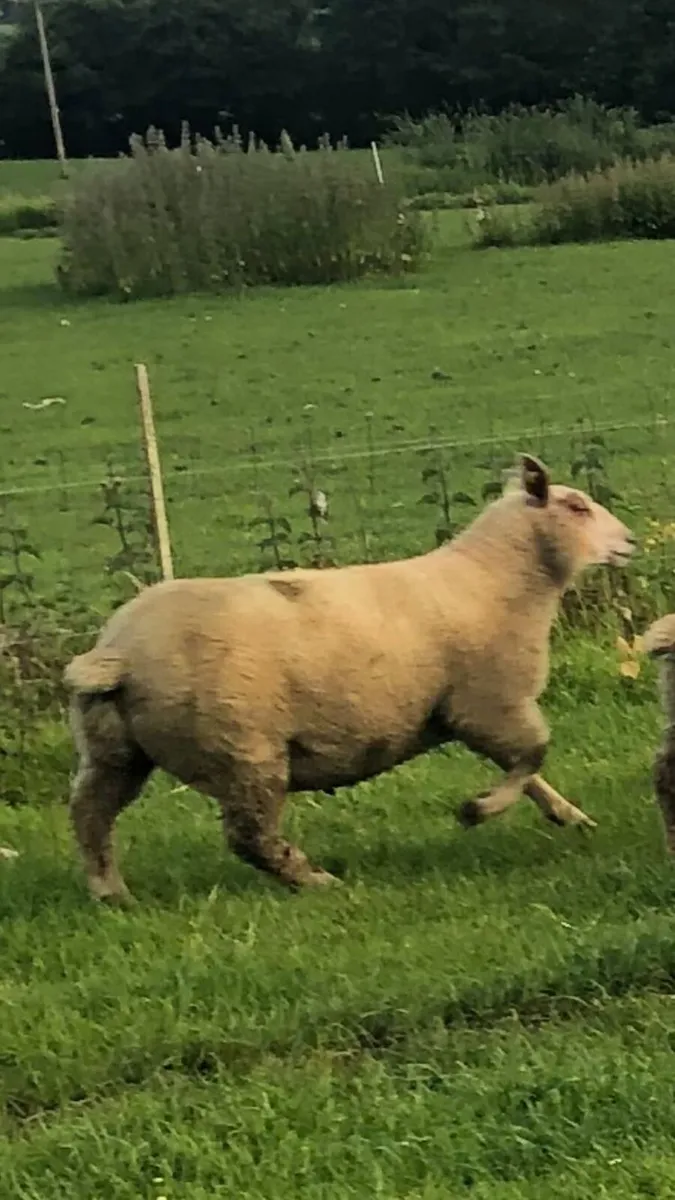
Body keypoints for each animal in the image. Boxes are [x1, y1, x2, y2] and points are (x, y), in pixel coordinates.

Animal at [63, 453, 636, 904]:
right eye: (577, 507)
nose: (630, 541)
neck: (499, 578)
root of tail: (118, 652)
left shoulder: (473, 712)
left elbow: (527, 767)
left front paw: (569, 816)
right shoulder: (488, 702)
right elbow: (534, 753)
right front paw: (477, 810)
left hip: (115, 749)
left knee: (90, 814)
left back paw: (111, 893)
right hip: (243, 749)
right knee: (249, 836)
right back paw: (316, 881)